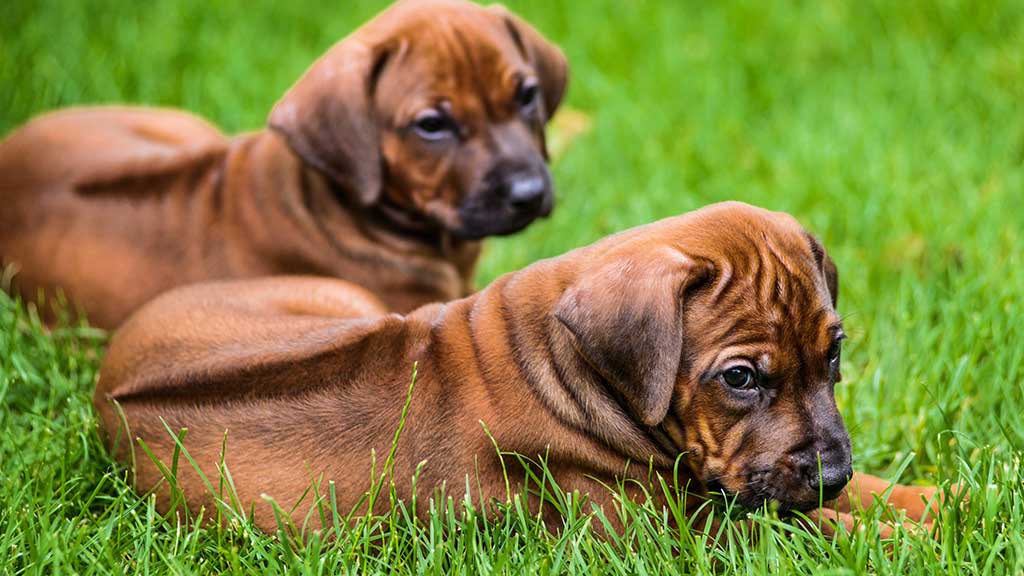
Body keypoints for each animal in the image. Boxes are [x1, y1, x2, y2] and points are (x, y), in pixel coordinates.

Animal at [94, 201, 942, 532]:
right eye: (740, 378)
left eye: (833, 354)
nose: (830, 470)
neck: (568, 369)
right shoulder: (675, 534)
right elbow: (814, 530)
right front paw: (901, 535)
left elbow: (860, 499)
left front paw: (937, 499)